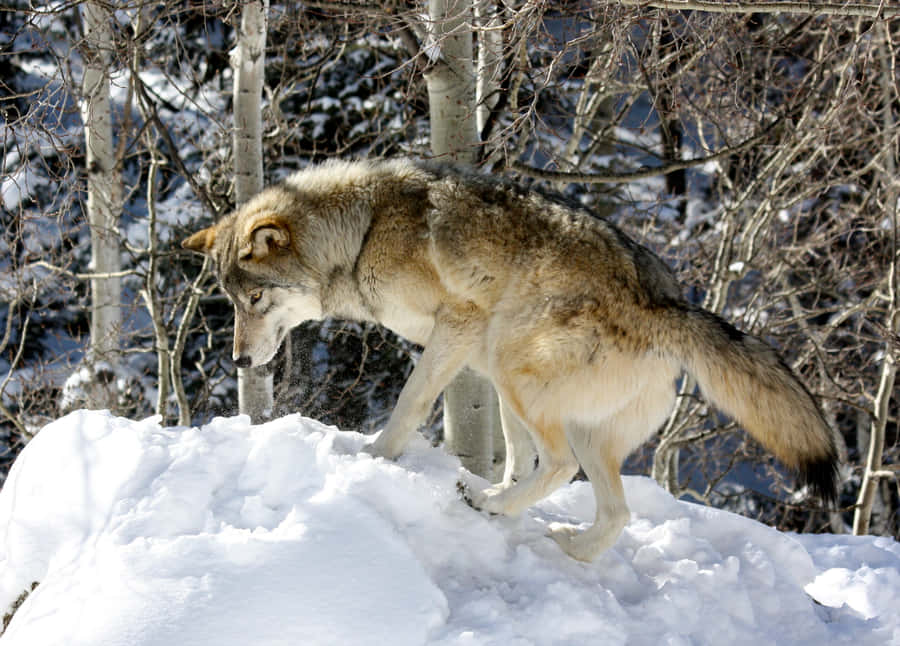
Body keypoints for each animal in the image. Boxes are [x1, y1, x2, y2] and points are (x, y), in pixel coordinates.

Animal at [183, 158, 839, 562]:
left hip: (518, 369)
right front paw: (491, 489)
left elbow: (410, 405)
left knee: (561, 466)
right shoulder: (476, 360)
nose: (239, 362)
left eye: (255, 299)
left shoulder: (460, 329)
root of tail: (665, 305)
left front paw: (372, 458)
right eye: (229, 301)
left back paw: (491, 506)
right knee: (613, 511)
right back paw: (561, 544)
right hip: (532, 389)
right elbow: (513, 453)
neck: (362, 232)